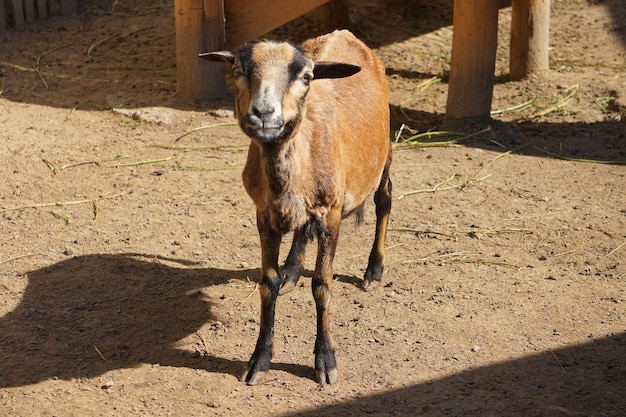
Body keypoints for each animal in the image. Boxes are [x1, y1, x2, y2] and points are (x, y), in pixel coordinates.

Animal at [201, 30, 390, 386]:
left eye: (306, 77)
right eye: (238, 71)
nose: (264, 114)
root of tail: (345, 34)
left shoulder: (331, 213)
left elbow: (322, 285)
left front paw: (325, 361)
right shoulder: (264, 213)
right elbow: (268, 284)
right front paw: (259, 360)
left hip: (385, 151)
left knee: (383, 199)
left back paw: (374, 271)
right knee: (302, 231)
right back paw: (292, 269)